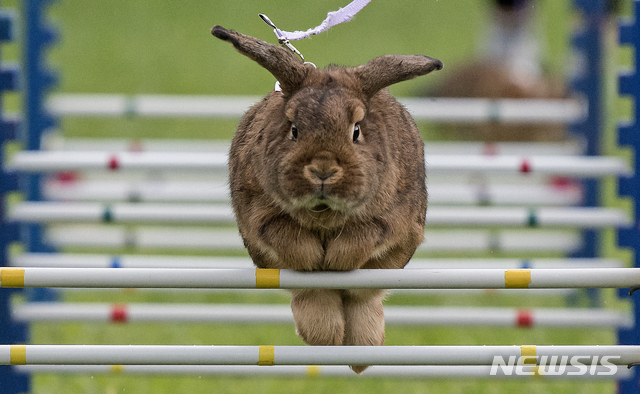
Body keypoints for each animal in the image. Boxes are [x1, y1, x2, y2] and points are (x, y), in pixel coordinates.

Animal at [212, 24, 442, 372]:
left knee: (364, 298)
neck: (323, 215)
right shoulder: (257, 215)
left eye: (356, 130)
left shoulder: (397, 219)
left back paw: (361, 352)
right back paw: (328, 339)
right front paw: (317, 261)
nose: (322, 170)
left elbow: (366, 235)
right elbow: (288, 239)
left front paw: (335, 260)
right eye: (294, 129)